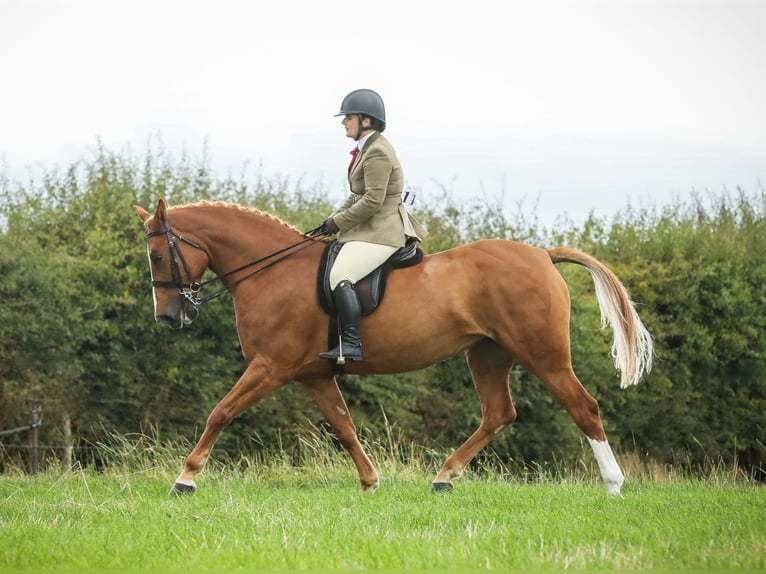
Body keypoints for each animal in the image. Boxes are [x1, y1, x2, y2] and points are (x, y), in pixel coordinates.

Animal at [134, 199, 653, 497]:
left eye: (158, 255)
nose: (168, 317)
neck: (270, 271)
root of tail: (542, 255)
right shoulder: (313, 374)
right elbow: (344, 427)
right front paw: (370, 482)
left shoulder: (271, 366)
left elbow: (220, 412)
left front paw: (185, 478)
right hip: (487, 353)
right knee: (498, 413)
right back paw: (444, 476)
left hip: (543, 354)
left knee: (583, 407)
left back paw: (613, 485)